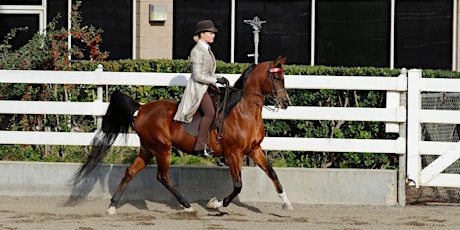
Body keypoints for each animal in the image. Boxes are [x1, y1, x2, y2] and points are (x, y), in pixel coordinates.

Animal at [73, 56, 292, 215]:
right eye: (276, 78)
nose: (286, 103)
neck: (243, 111)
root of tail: (142, 108)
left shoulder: (254, 149)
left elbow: (272, 173)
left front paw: (286, 203)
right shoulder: (233, 154)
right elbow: (238, 186)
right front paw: (215, 204)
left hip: (148, 148)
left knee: (130, 172)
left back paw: (112, 206)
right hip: (162, 149)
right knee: (162, 176)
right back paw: (186, 205)